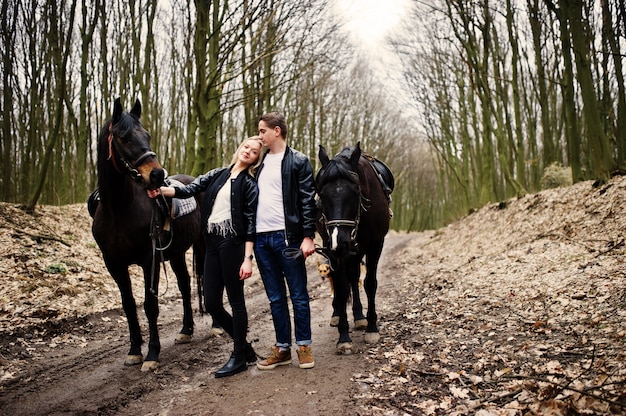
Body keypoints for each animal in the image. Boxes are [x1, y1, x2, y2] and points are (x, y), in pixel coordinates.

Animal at [91, 97, 202, 370]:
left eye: (148, 135)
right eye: (124, 137)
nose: (157, 174)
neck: (118, 209)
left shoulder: (148, 259)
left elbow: (150, 305)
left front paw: (152, 354)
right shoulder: (114, 264)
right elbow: (129, 305)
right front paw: (134, 351)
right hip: (176, 253)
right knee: (185, 285)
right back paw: (186, 330)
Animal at [316, 141, 390, 352]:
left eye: (356, 192)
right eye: (321, 194)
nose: (339, 241)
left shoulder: (375, 244)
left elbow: (370, 284)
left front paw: (372, 327)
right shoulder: (333, 250)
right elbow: (341, 287)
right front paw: (343, 336)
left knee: (355, 277)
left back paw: (359, 317)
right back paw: (338, 314)